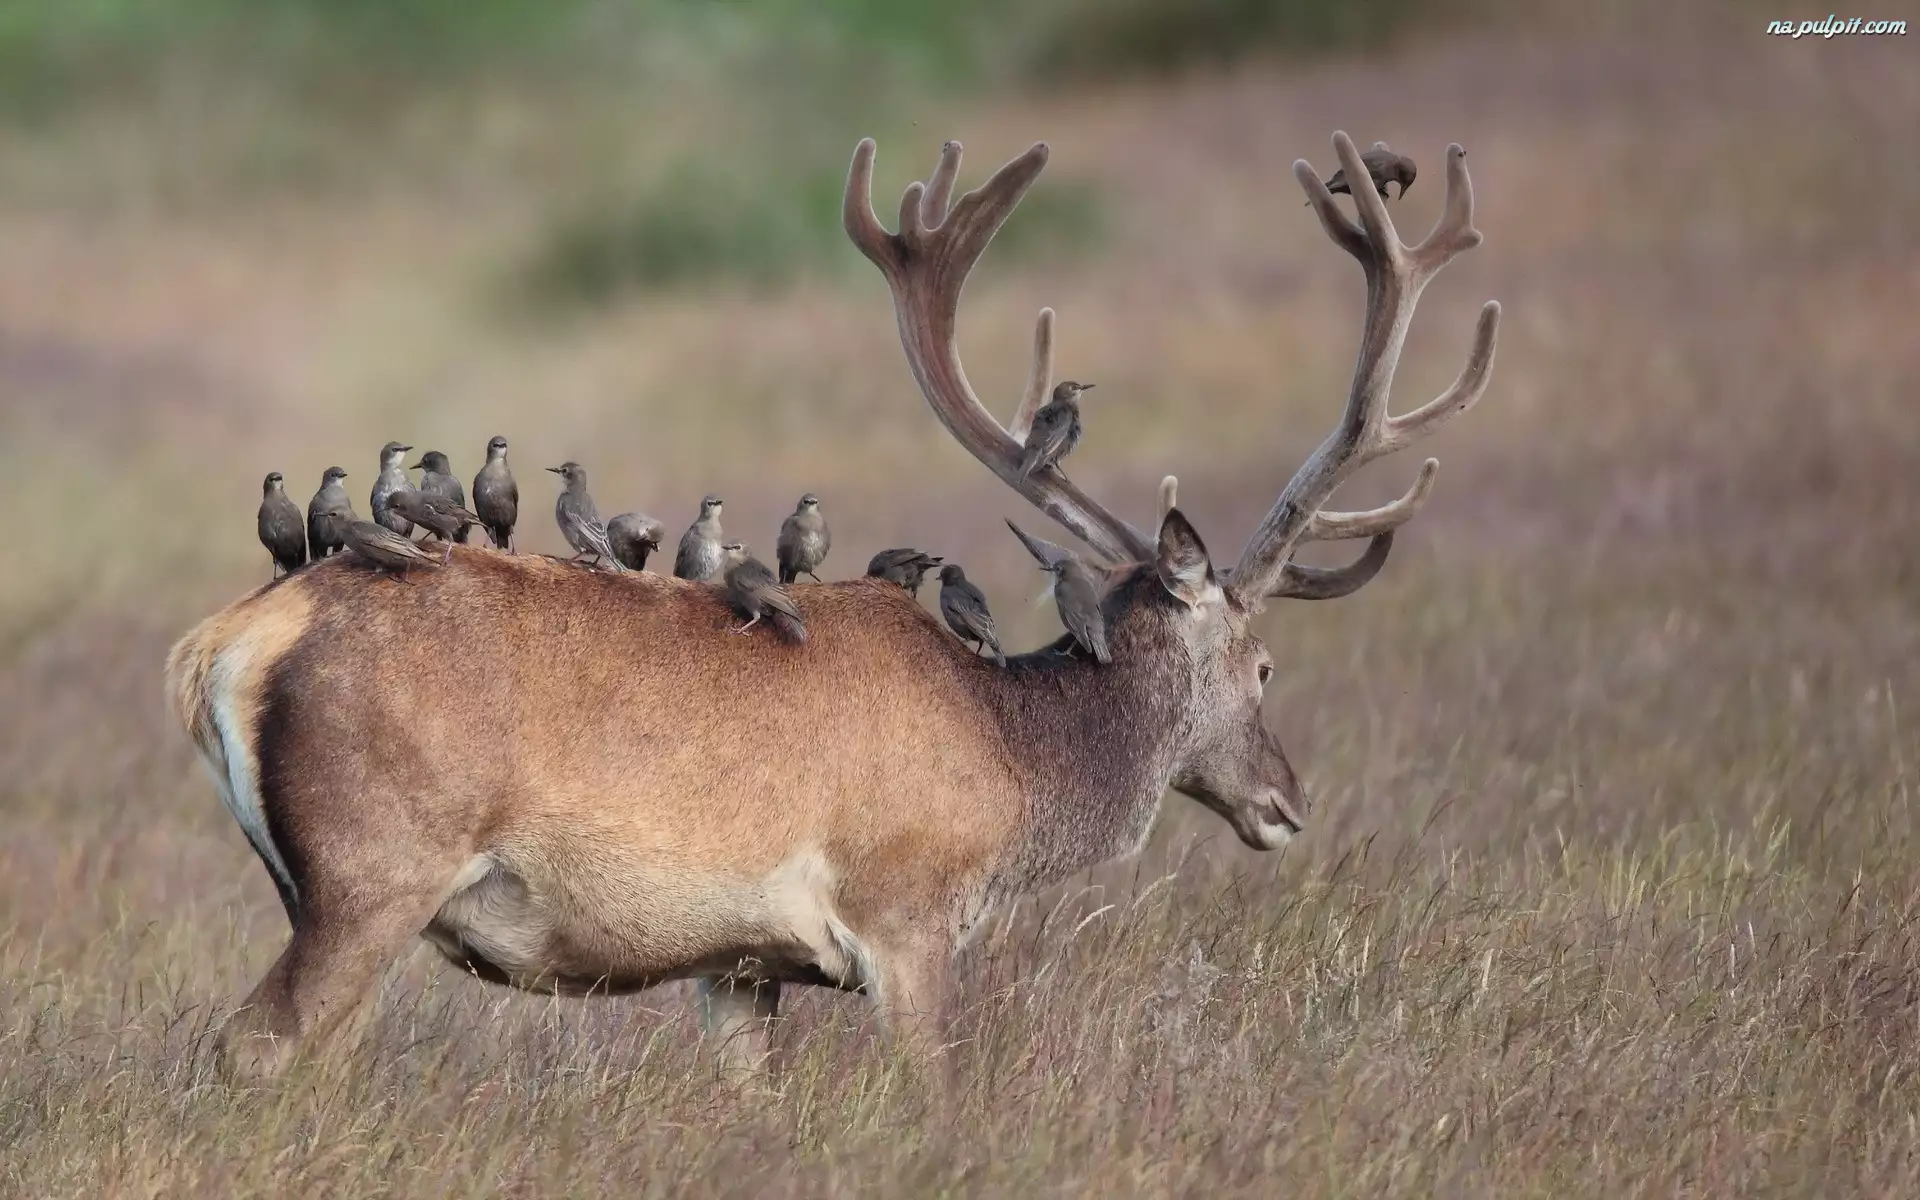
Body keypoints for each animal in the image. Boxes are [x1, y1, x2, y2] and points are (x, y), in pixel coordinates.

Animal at [165, 131, 1498, 1082]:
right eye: (1264, 666)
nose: (1286, 802)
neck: (1014, 767)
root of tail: (222, 645)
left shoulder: (738, 964)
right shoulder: (905, 911)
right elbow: (934, 1087)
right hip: (375, 864)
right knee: (253, 1045)